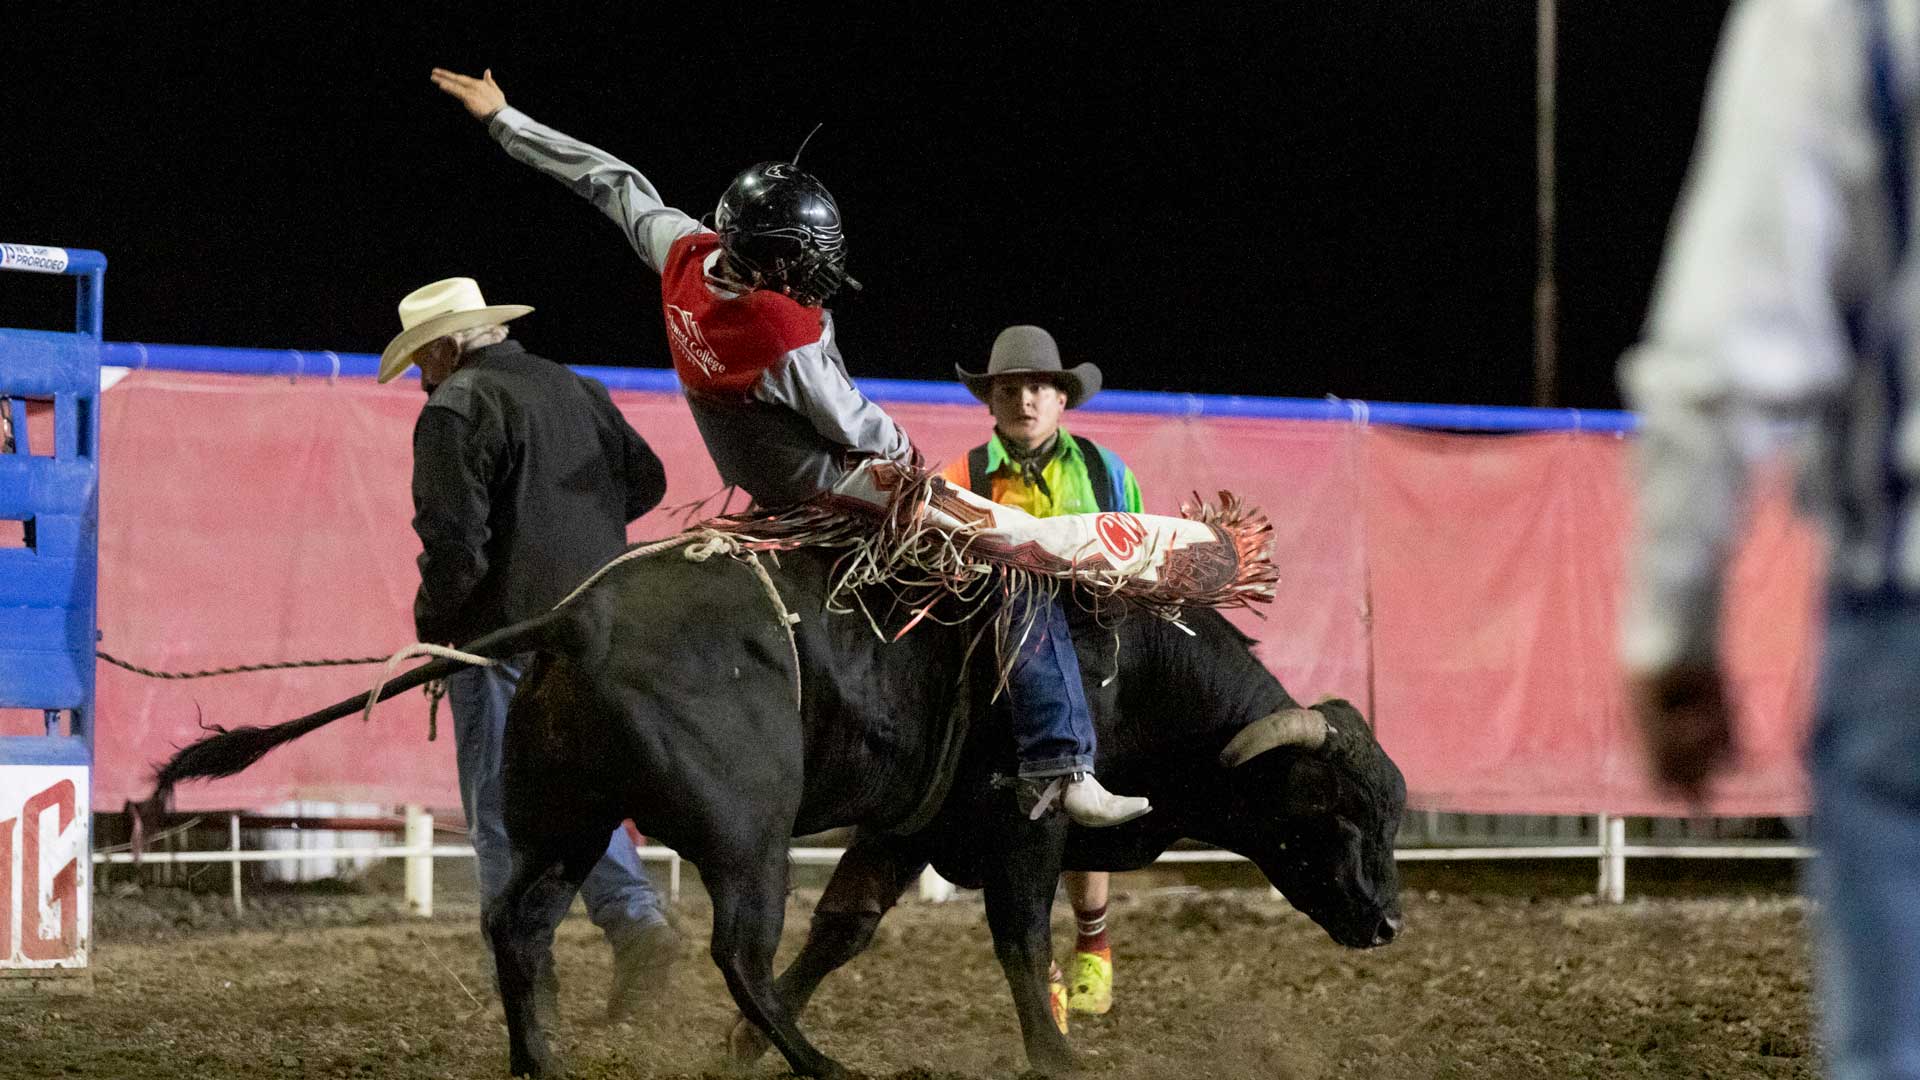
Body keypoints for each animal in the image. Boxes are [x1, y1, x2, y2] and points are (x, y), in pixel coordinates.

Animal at [149, 545, 1413, 1076]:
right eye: (1328, 809)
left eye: (1392, 816)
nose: (1389, 921)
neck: (1125, 660)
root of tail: (572, 621)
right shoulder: (1026, 825)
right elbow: (1017, 935)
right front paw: (1057, 1051)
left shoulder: (904, 830)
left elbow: (843, 929)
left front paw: (729, 1053)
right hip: (746, 832)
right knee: (736, 946)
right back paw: (824, 1067)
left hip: (566, 816)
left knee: (521, 928)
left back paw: (545, 1059)